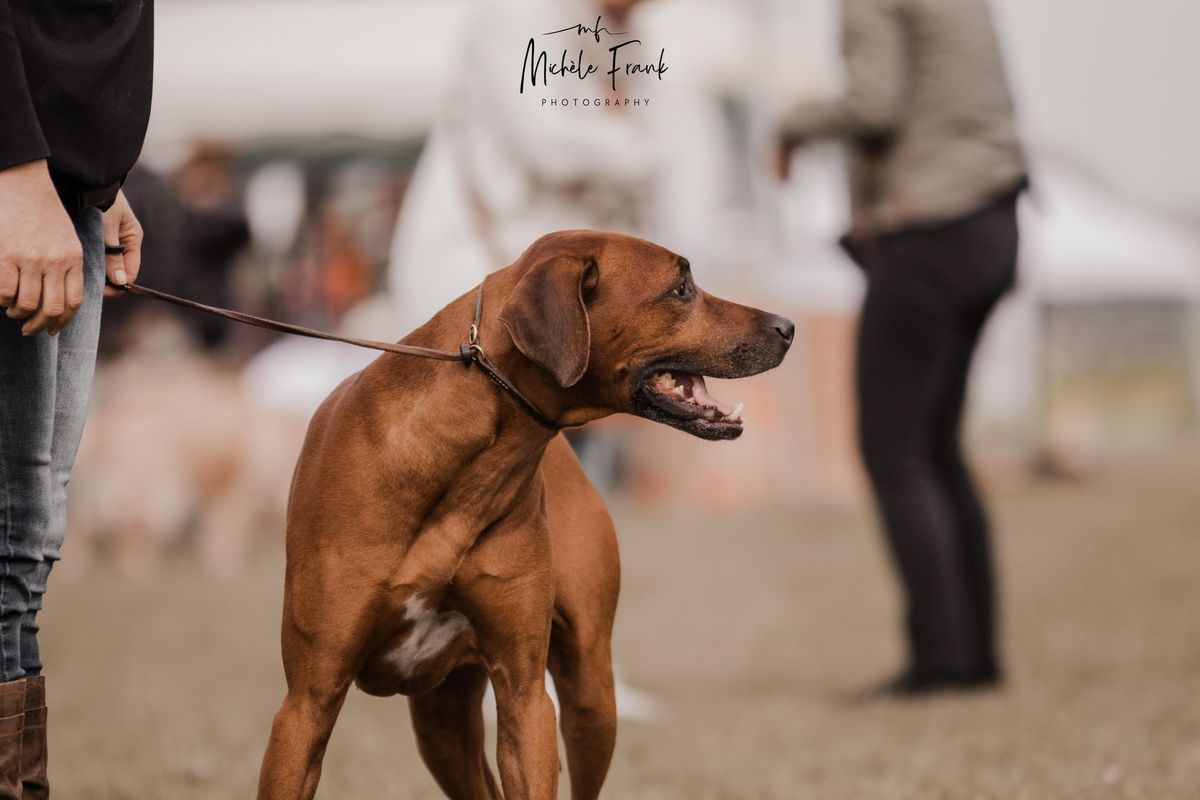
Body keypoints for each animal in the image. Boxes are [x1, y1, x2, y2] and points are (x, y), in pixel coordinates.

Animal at [258, 231, 792, 800]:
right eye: (681, 287)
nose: (788, 327)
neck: (461, 468)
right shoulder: (307, 701)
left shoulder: (525, 694)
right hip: (441, 726)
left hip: (587, 694)